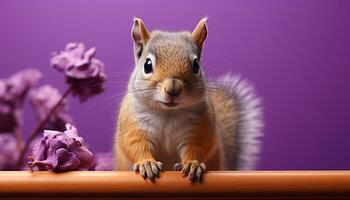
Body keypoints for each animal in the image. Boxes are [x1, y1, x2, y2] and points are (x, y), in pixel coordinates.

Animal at [115, 17, 262, 183]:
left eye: (196, 65)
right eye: (147, 65)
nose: (173, 88)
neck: (168, 113)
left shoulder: (200, 126)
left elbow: (197, 146)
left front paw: (192, 164)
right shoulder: (132, 123)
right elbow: (135, 144)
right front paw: (146, 163)